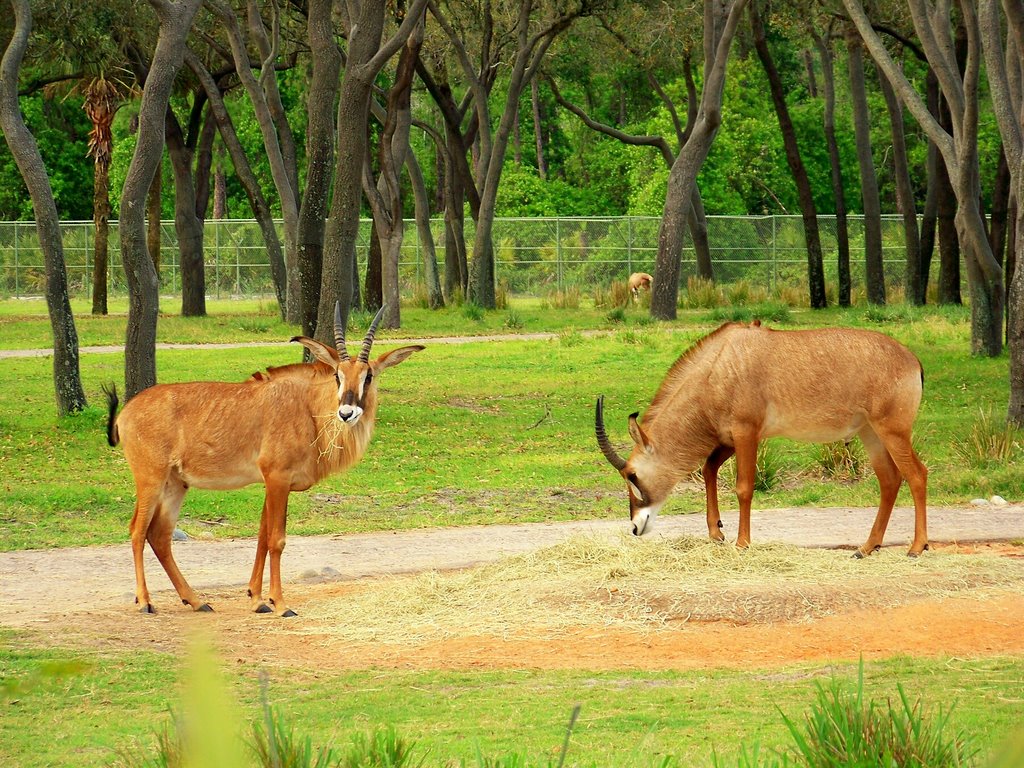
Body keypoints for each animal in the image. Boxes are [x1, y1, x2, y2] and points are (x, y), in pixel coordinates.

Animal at [103, 303, 423, 618]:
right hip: (151, 478)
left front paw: (257, 600)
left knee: (159, 536)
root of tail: (126, 412)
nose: (347, 413)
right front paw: (280, 604)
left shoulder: (272, 483)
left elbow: (261, 537)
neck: (308, 410)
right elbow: (276, 540)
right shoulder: (277, 478)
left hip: (175, 484)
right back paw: (145, 602)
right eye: (337, 375)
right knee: (138, 530)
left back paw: (195, 600)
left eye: (369, 376)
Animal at [598, 319, 933, 561]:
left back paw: (917, 547)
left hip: (892, 430)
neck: (718, 364)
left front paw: (742, 542)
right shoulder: (729, 437)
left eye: (631, 474)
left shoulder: (747, 432)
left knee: (917, 474)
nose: (635, 527)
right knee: (890, 479)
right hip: (870, 432)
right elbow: (709, 468)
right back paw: (866, 547)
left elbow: (744, 487)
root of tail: (913, 360)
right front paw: (716, 533)